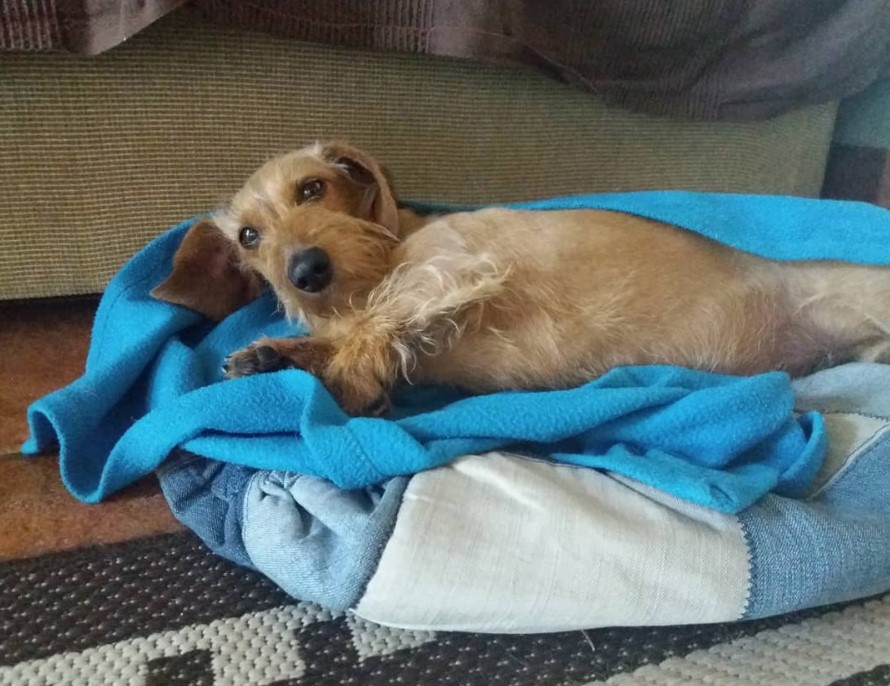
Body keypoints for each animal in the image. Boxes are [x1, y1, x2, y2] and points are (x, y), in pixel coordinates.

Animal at [151, 141, 888, 414]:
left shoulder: (453, 270)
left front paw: (345, 379)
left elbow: (375, 326)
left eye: (313, 187)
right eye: (249, 237)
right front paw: (274, 355)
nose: (306, 271)